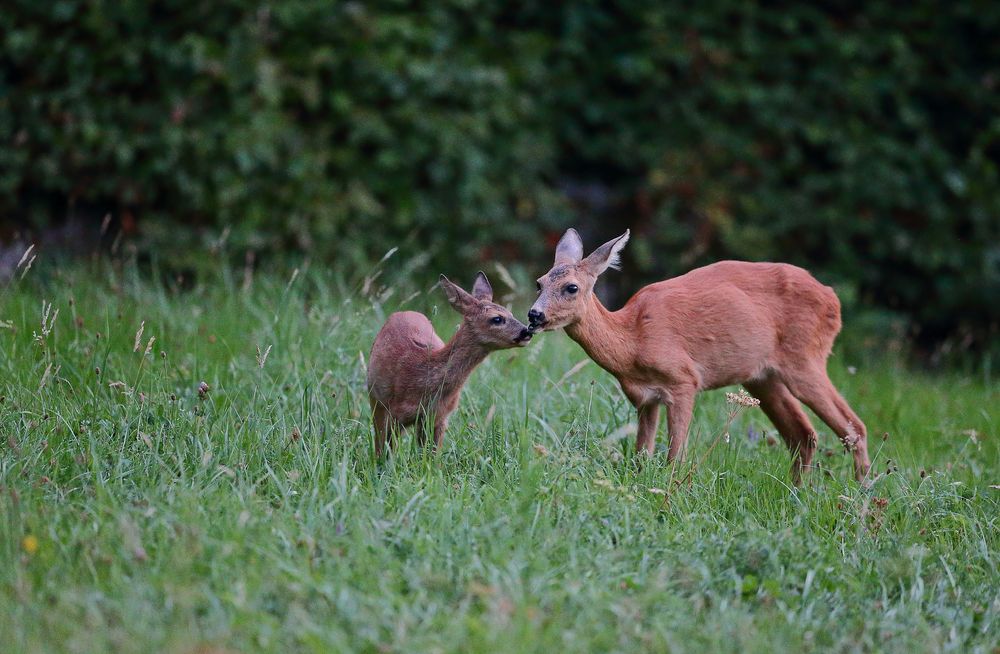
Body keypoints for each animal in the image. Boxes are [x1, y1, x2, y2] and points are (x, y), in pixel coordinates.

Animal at [368, 272, 536, 456]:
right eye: (497, 319)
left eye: (511, 313)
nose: (527, 331)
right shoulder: (391, 414)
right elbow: (384, 452)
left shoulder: (439, 417)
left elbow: (432, 457)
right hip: (374, 399)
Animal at [532, 229, 868, 482]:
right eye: (540, 282)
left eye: (571, 287)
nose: (534, 315)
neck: (633, 341)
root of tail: (833, 299)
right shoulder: (645, 398)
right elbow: (642, 455)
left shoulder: (684, 380)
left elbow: (674, 455)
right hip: (762, 378)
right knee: (804, 434)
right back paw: (798, 493)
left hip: (805, 359)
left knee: (854, 427)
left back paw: (859, 499)